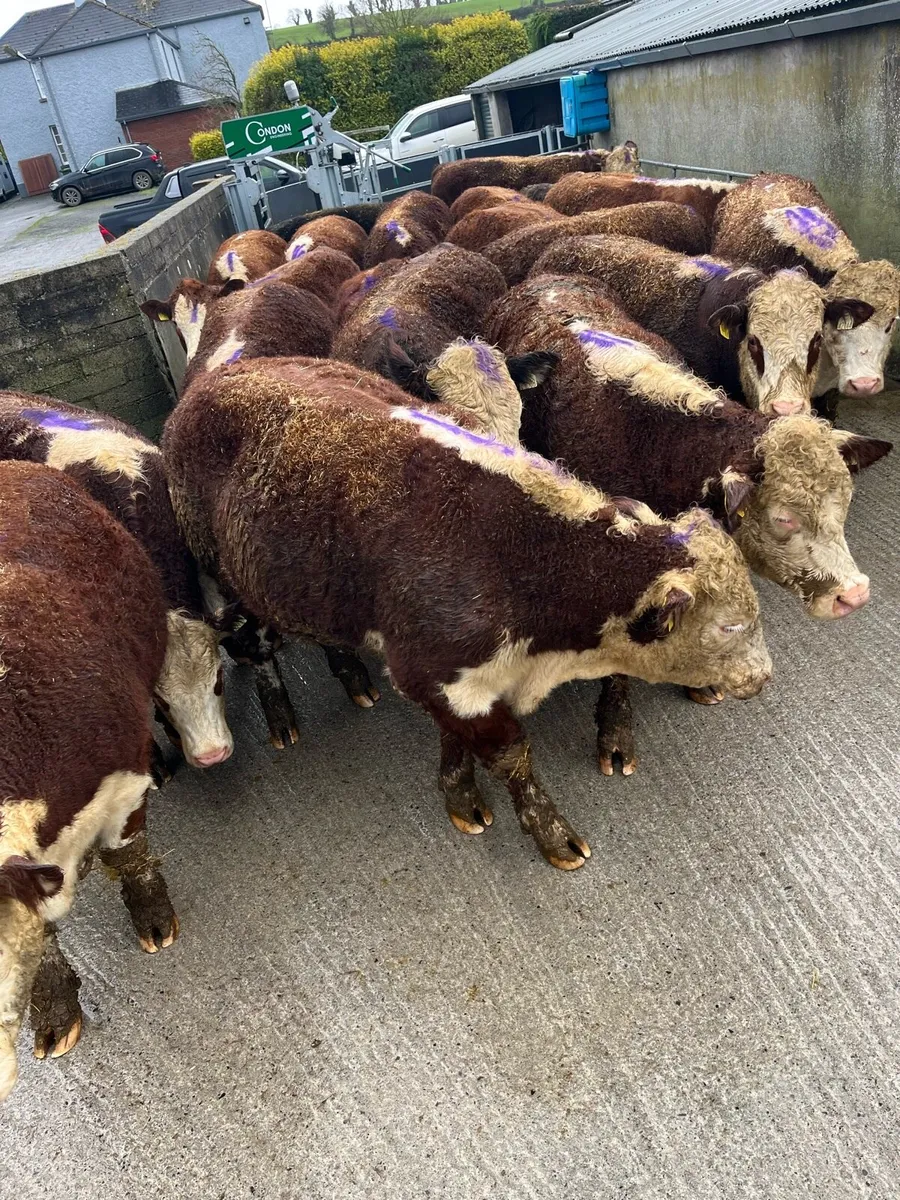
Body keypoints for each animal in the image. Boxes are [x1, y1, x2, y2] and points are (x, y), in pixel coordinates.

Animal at [162, 353, 771, 871]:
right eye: (729, 625)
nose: (763, 677)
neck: (522, 555)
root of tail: (210, 383)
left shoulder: (455, 682)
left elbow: (457, 739)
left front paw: (457, 787)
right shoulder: (436, 674)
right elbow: (511, 755)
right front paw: (549, 831)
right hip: (224, 573)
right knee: (255, 642)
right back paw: (282, 710)